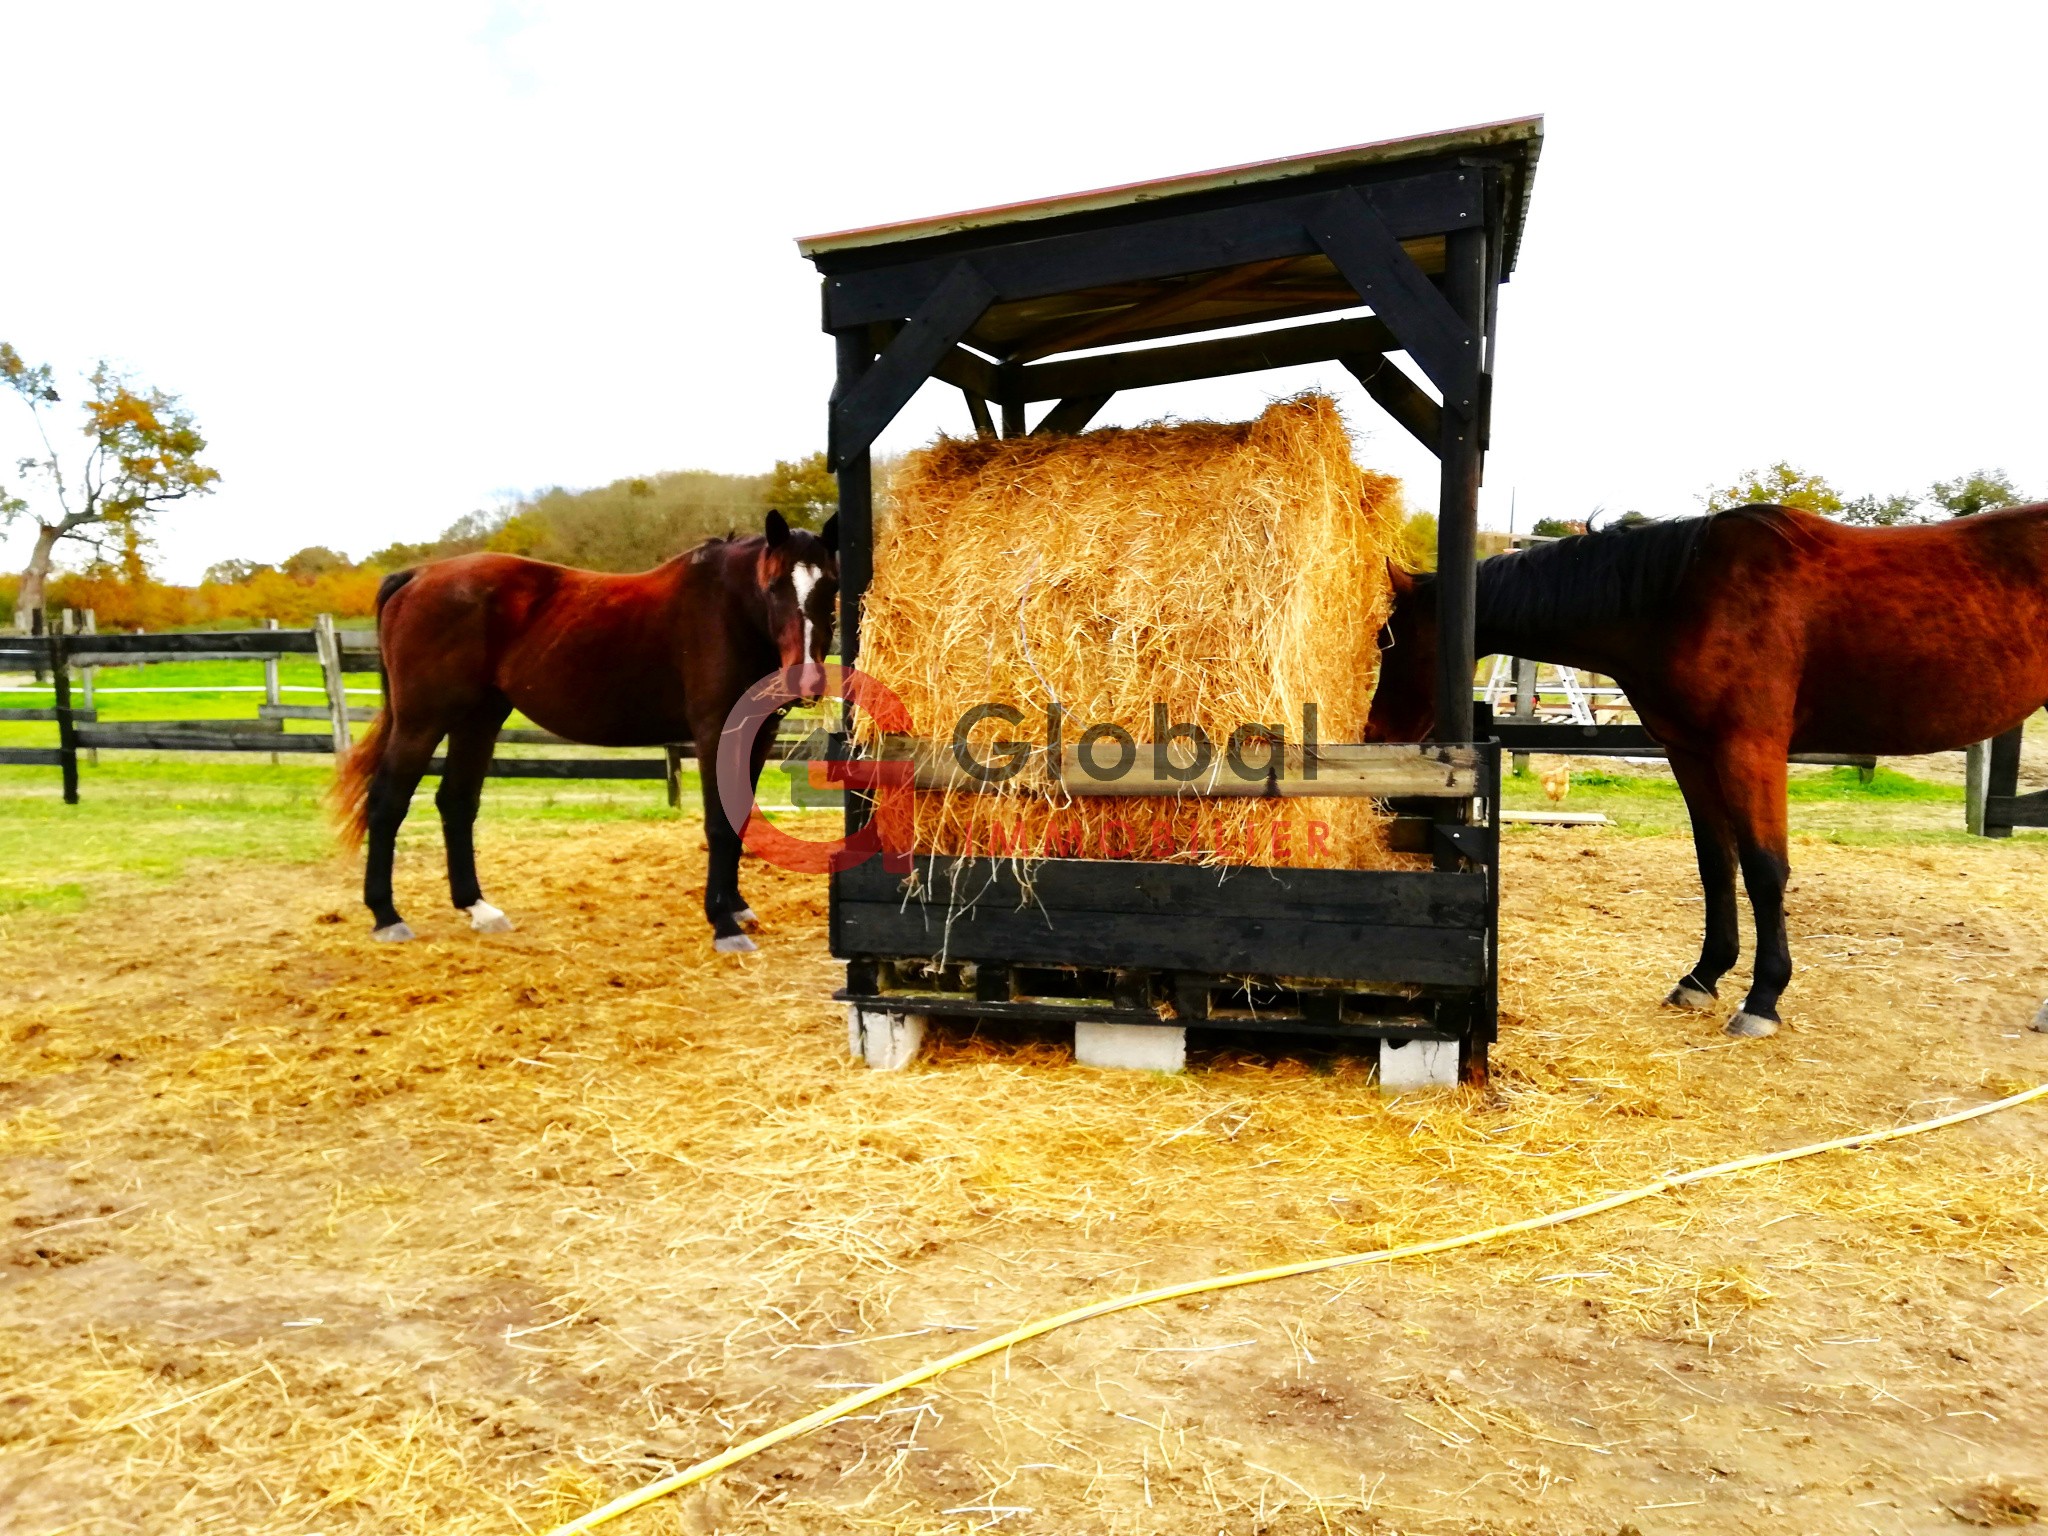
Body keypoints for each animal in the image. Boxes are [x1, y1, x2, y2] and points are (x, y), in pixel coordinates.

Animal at [331, 514, 835, 950]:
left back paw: (478, 909)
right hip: (422, 721)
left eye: (830, 585)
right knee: (387, 802)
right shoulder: (715, 733)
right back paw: (387, 917)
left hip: (478, 719)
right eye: (774, 586)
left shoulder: (758, 734)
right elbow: (718, 823)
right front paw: (723, 924)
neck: (727, 609)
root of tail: (416, 575)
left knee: (456, 803)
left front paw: (737, 907)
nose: (806, 680)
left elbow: (739, 818)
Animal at [1368, 512, 2048, 1040]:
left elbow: (1765, 870)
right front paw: (1702, 977)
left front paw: (1763, 999)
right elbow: (1715, 863)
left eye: (1387, 641)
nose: (1374, 735)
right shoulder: (1690, 752)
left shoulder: (1750, 751)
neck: (1681, 598)